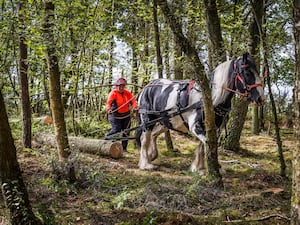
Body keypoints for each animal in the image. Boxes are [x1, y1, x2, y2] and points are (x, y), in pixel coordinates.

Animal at [136, 52, 264, 172]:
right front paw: (210, 167)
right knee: (144, 139)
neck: (210, 98)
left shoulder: (214, 128)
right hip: (147, 119)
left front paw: (200, 168)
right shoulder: (195, 126)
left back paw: (152, 155)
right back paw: (146, 164)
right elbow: (208, 144)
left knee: (153, 134)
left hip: (167, 122)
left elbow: (205, 145)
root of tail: (147, 86)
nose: (261, 98)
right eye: (247, 73)